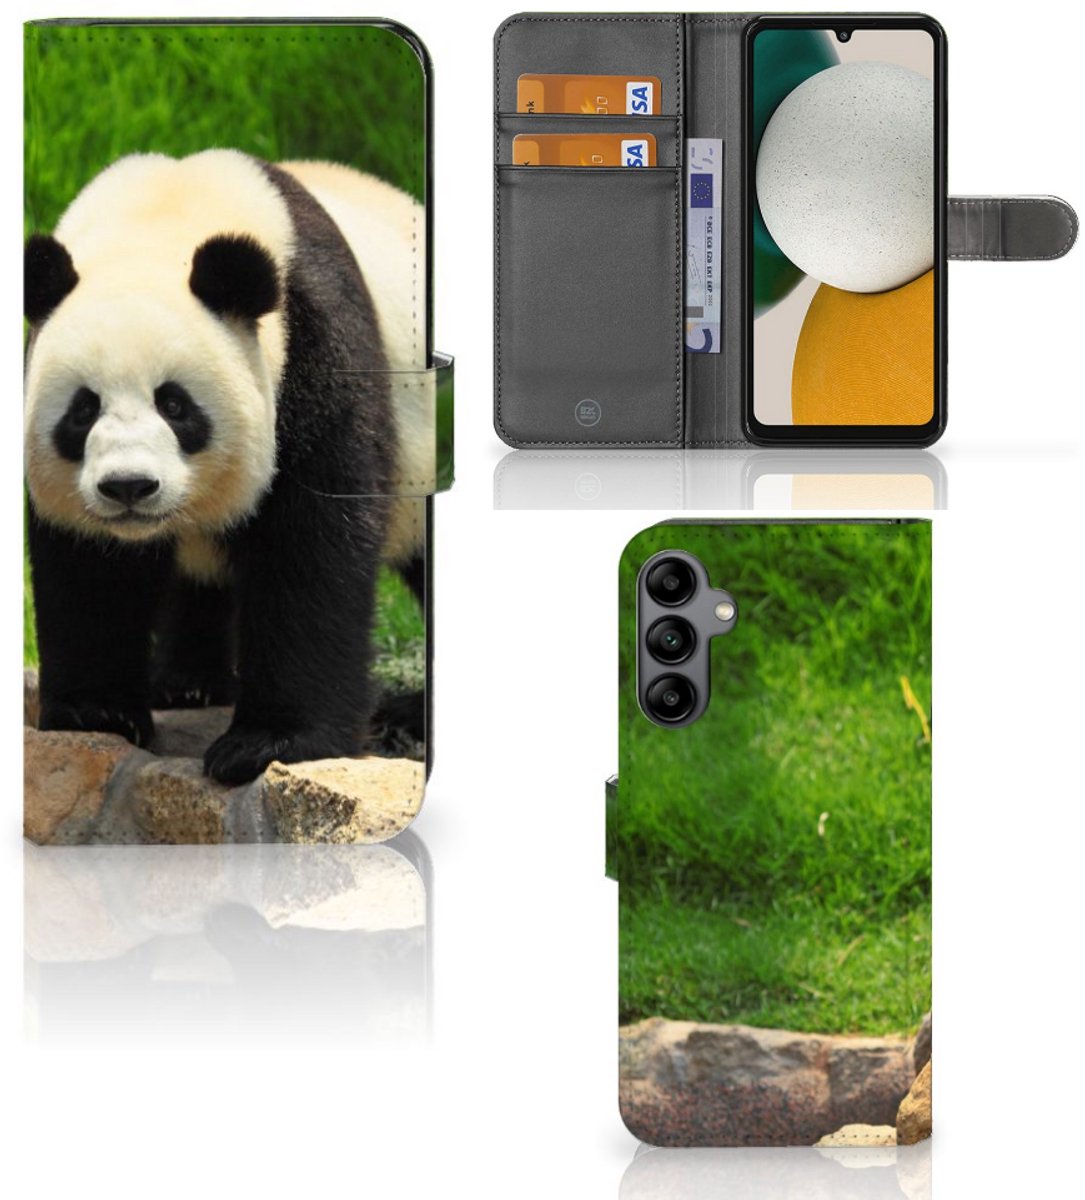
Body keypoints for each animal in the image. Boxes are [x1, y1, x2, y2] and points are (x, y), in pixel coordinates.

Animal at [24, 149, 431, 784]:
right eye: (83, 410)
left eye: (174, 404)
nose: (129, 487)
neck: (161, 217)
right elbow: (89, 567)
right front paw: (98, 713)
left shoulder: (314, 349)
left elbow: (310, 545)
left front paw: (268, 743)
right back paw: (188, 683)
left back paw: (408, 715)